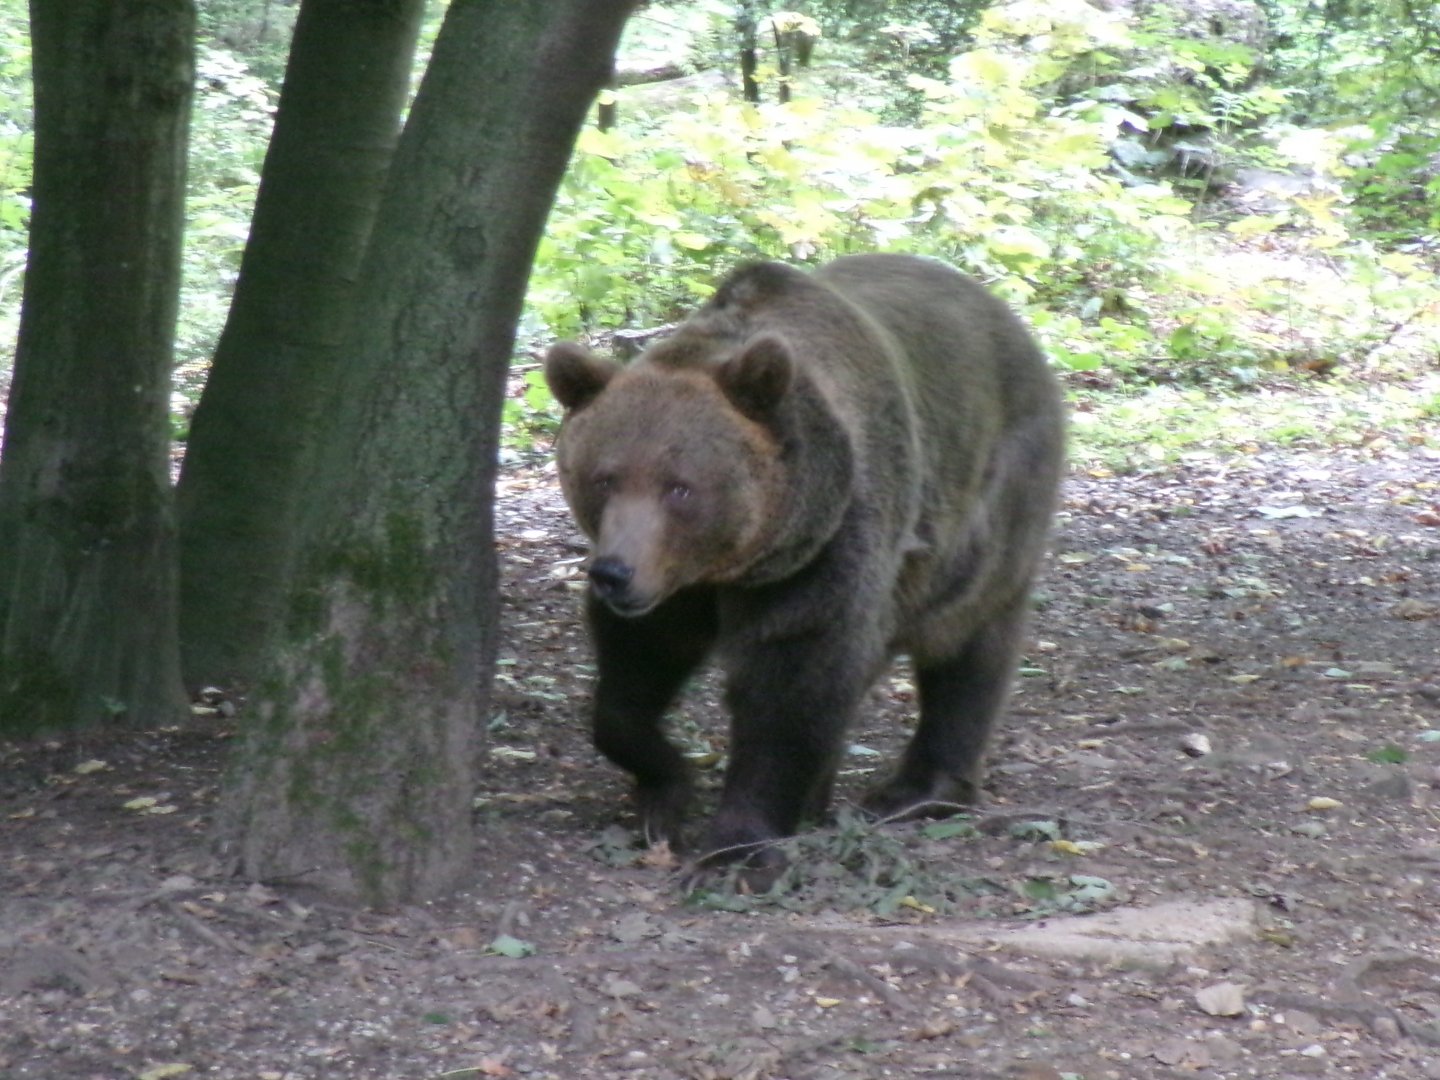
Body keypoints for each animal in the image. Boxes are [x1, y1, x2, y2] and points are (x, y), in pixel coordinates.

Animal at [544, 253, 1065, 876]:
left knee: (968, 638)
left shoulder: (823, 549)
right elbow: (635, 667)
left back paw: (918, 790)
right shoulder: (674, 583)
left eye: (680, 487)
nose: (613, 573)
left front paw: (739, 848)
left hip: (992, 496)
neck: (731, 565)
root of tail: (1007, 319)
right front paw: (665, 788)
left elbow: (793, 683)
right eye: (604, 478)